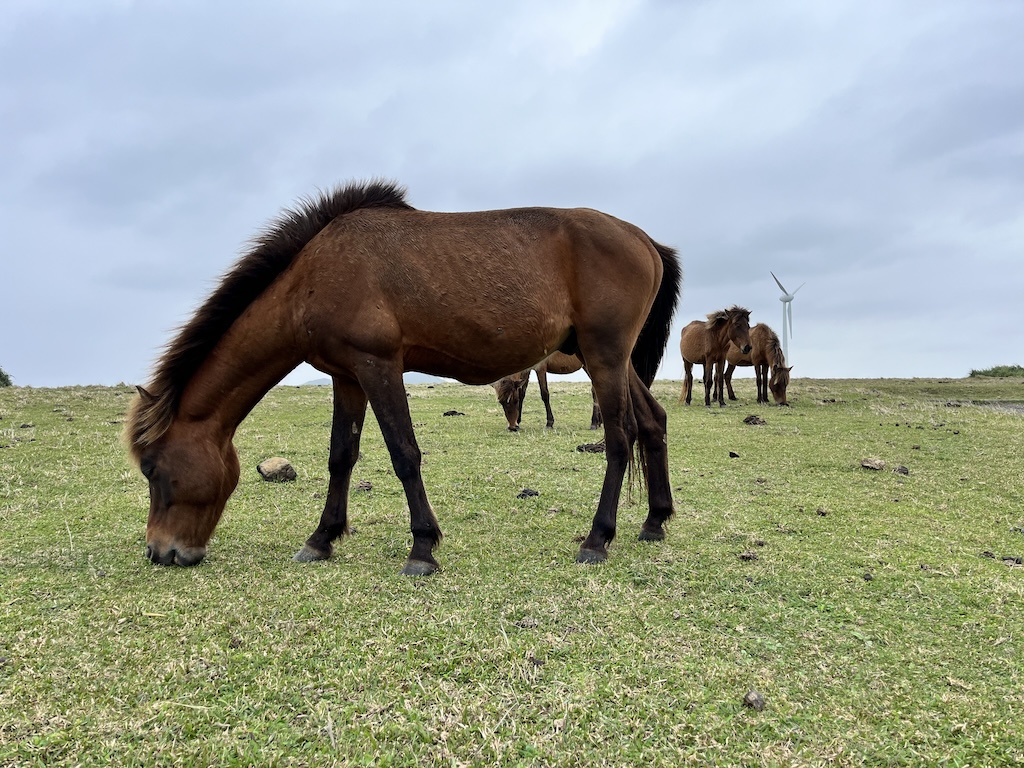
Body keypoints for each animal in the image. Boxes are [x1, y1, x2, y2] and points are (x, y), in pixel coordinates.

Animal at [125, 180, 679, 577]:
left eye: (152, 468)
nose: (159, 551)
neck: (313, 276)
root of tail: (645, 240)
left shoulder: (379, 367)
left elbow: (404, 455)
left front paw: (422, 548)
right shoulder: (348, 377)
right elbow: (341, 458)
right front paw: (321, 539)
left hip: (604, 358)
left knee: (620, 437)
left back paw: (598, 539)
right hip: (612, 360)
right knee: (653, 423)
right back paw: (654, 521)